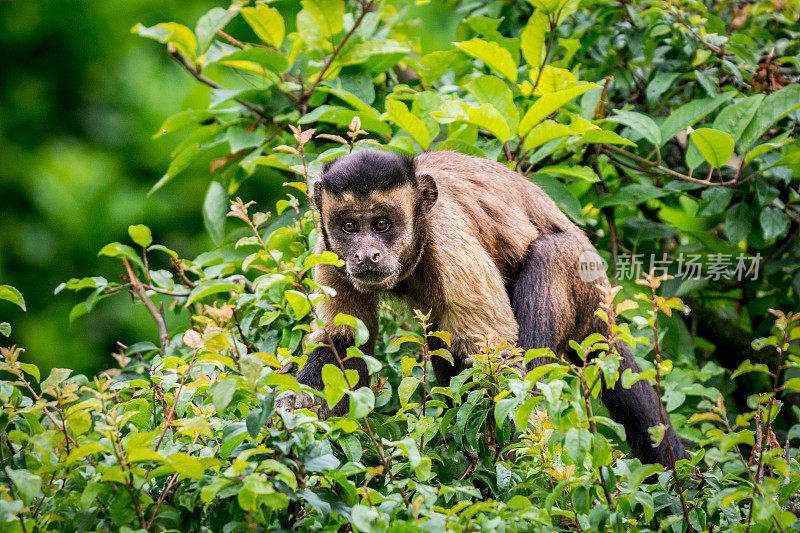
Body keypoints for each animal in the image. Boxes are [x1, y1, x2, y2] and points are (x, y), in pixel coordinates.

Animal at [278, 149, 684, 466]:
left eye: (382, 224)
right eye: (349, 226)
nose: (365, 254)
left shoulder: (448, 237)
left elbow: (495, 359)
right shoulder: (328, 251)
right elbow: (344, 342)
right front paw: (295, 415)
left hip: (580, 271)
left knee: (546, 260)